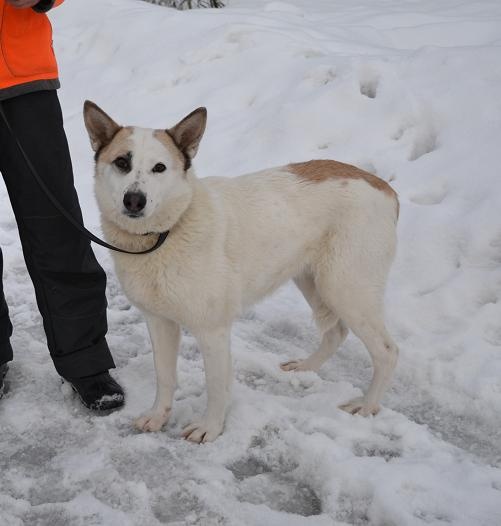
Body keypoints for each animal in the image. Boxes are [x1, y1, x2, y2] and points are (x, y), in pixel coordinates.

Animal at [83, 101, 399, 443]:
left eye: (159, 168)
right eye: (122, 162)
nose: (134, 200)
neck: (165, 233)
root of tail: (384, 187)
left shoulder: (213, 331)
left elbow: (216, 387)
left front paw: (210, 428)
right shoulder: (159, 321)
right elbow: (164, 376)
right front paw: (158, 416)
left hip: (345, 288)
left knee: (387, 351)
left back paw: (367, 406)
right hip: (312, 281)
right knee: (336, 332)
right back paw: (305, 367)